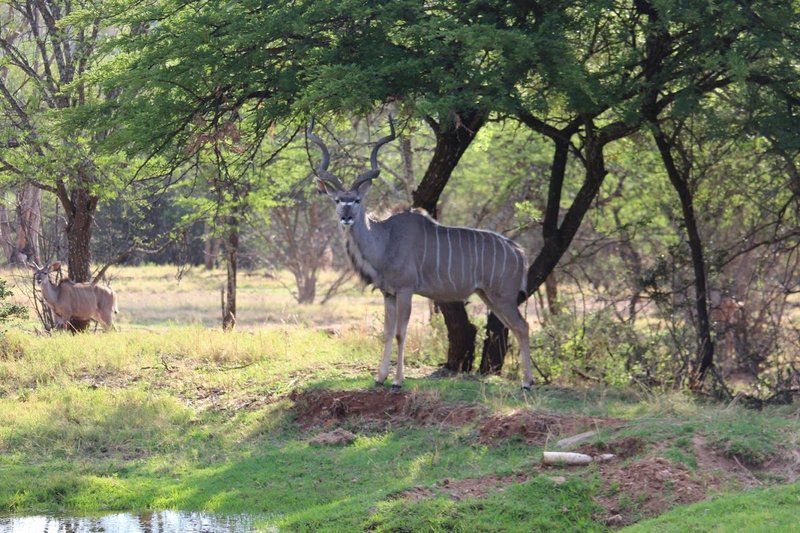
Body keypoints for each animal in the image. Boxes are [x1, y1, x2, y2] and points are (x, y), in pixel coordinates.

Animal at [308, 118, 532, 388]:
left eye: (358, 200)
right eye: (338, 200)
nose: (346, 217)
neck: (386, 239)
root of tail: (520, 252)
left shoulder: (406, 290)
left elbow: (399, 333)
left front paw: (397, 381)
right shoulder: (388, 294)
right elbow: (386, 333)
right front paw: (380, 378)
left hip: (503, 297)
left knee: (523, 326)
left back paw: (528, 382)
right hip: (489, 296)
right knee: (516, 327)